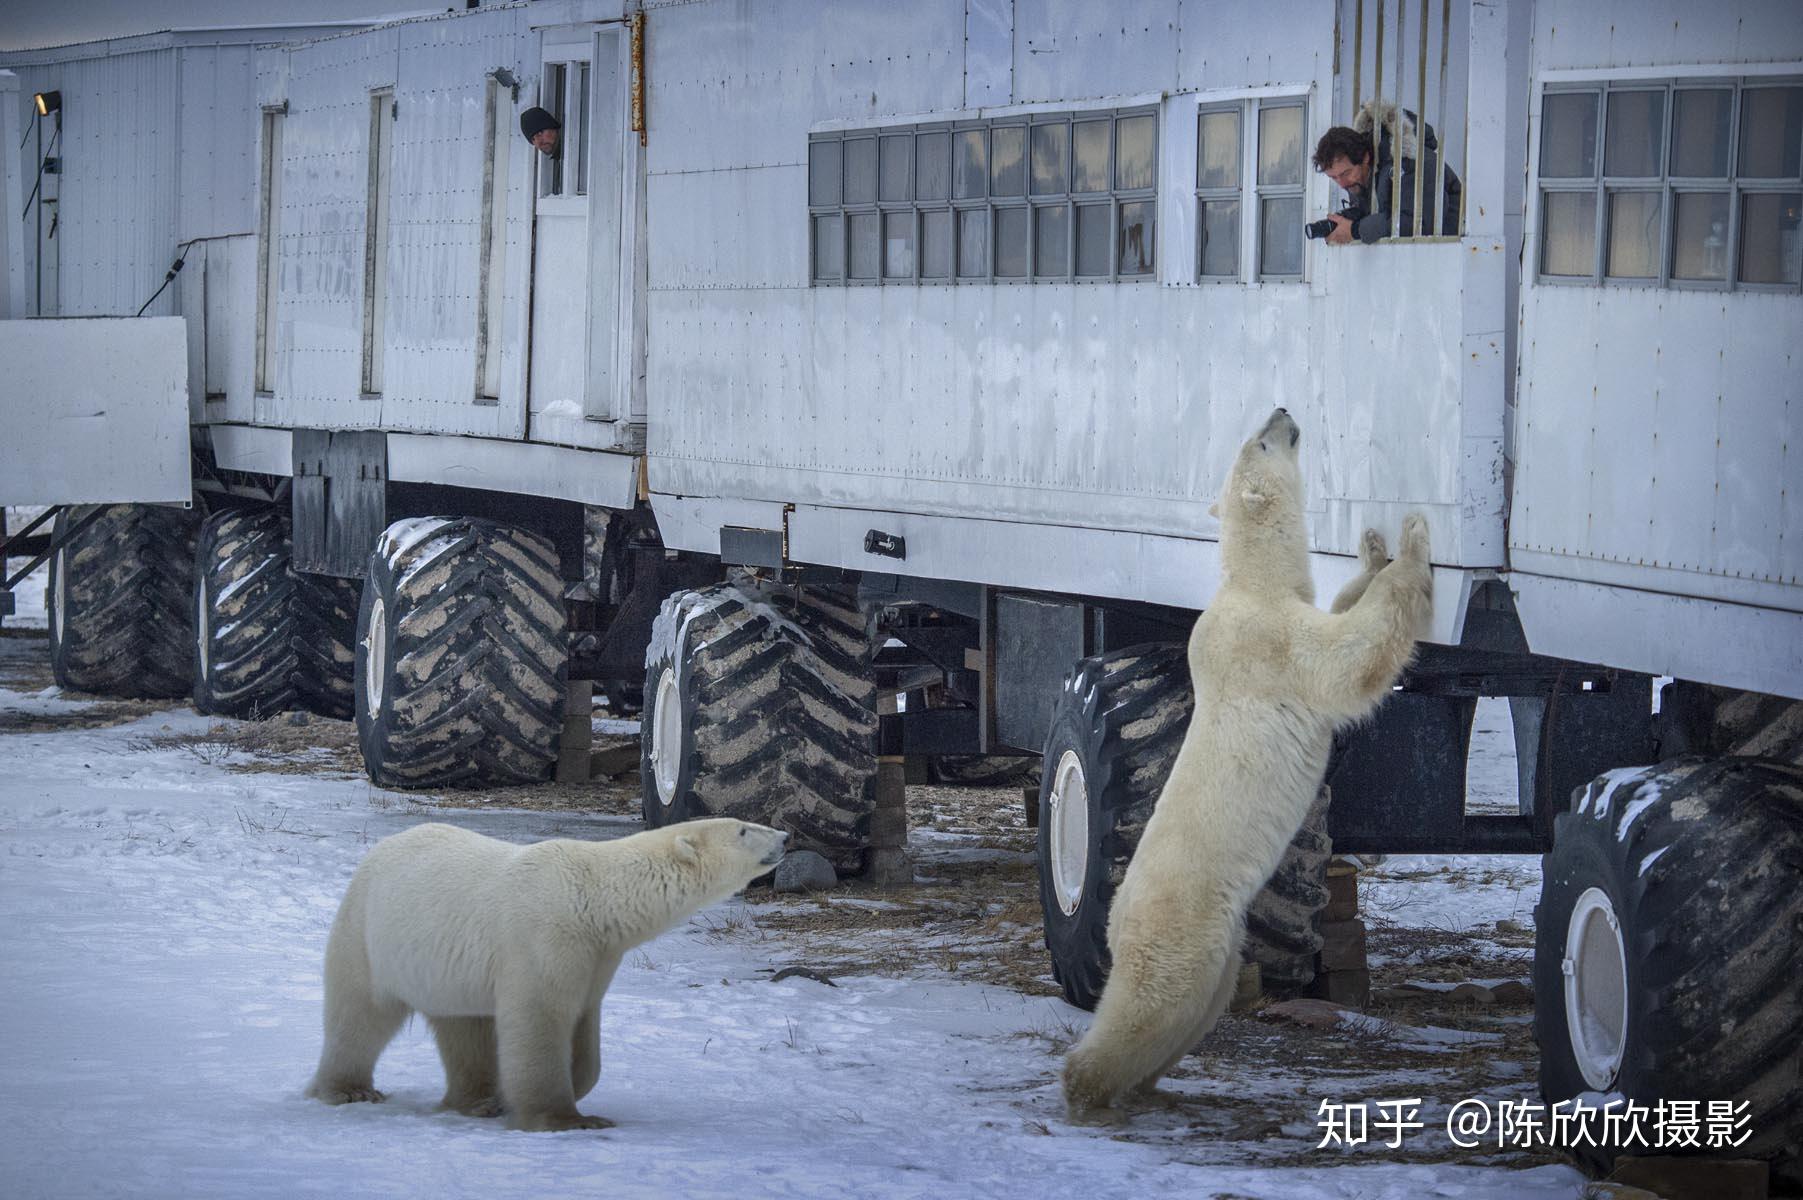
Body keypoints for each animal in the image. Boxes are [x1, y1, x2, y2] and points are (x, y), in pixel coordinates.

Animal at [306, 814, 786, 1124]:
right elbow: (541, 1018)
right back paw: (348, 1089)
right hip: (369, 936)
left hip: (446, 970)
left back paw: (476, 1100)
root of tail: (377, 853)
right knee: (360, 1015)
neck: (594, 895)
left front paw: (529, 1094)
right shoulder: (545, 937)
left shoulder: (598, 954)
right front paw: (564, 1117)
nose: (785, 835)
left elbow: (584, 1031)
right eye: (743, 829)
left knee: (463, 1026)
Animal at [1052, 407, 1435, 1117]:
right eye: (1261, 441)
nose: (1283, 410)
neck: (1250, 584)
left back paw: (1150, 1083)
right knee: (1152, 1003)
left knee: (1197, 1006)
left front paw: (1371, 548)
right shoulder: (1271, 643)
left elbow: (1340, 609)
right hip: (1184, 926)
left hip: (1222, 945)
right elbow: (1351, 655)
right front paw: (1412, 537)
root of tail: (1120, 923)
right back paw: (1087, 1082)